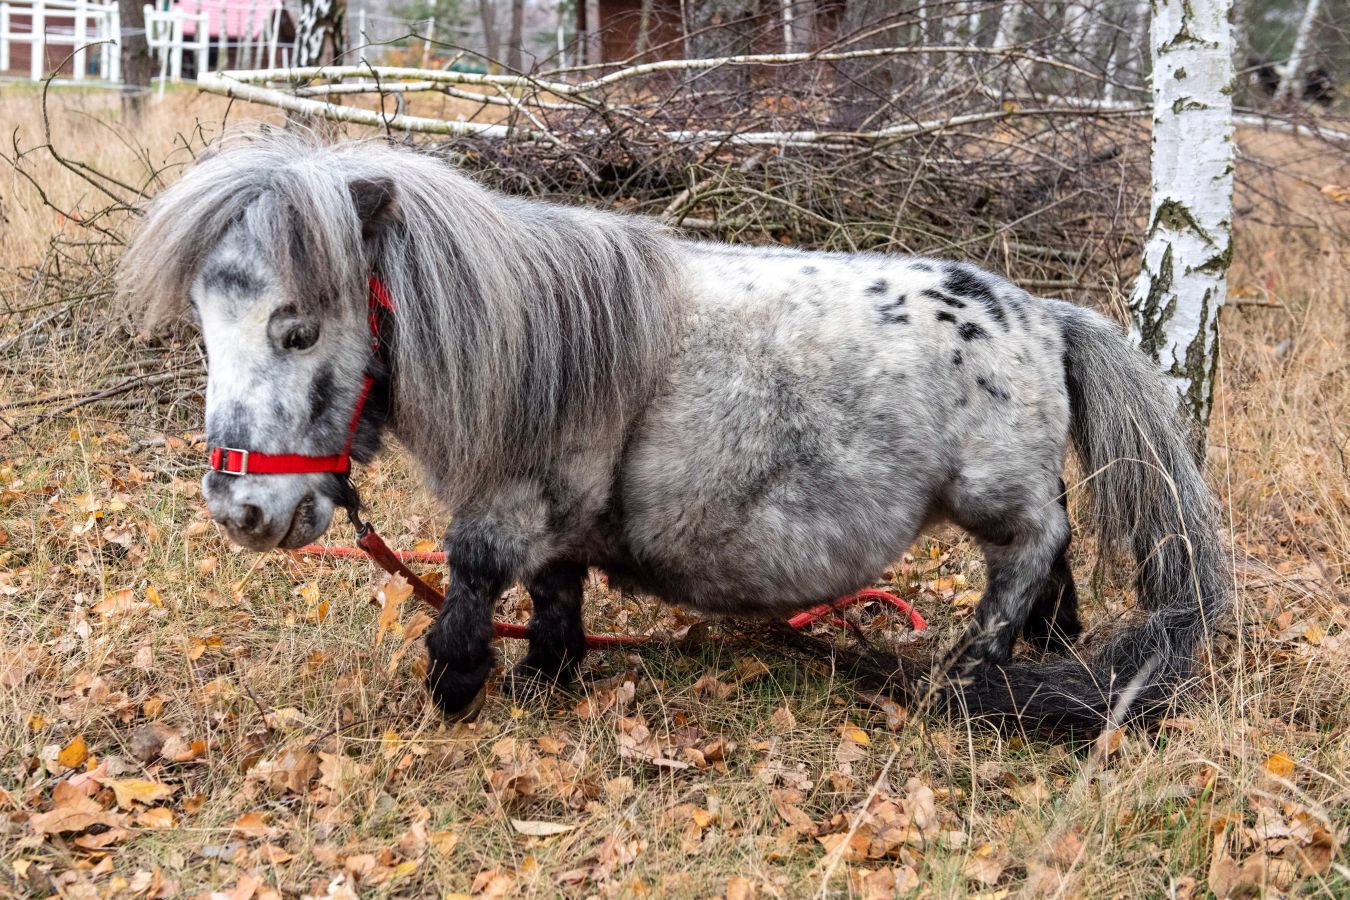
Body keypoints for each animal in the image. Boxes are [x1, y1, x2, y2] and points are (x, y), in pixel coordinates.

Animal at [121, 133, 1229, 734]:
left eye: (296, 327)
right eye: (206, 326)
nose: (241, 508)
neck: (539, 335)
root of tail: (1048, 315)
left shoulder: (518, 499)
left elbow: (477, 576)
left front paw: (457, 683)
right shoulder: (562, 510)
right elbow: (554, 589)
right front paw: (549, 676)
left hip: (995, 499)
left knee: (1034, 549)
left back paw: (968, 675)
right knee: (1060, 549)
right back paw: (1051, 645)